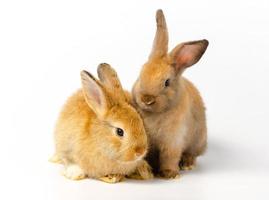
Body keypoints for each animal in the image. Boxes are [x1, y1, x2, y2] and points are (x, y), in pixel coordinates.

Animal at [131, 9, 208, 178]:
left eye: (167, 82)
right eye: (141, 74)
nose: (146, 99)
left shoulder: (173, 141)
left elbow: (170, 156)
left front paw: (169, 174)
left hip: (197, 141)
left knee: (192, 154)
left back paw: (187, 164)